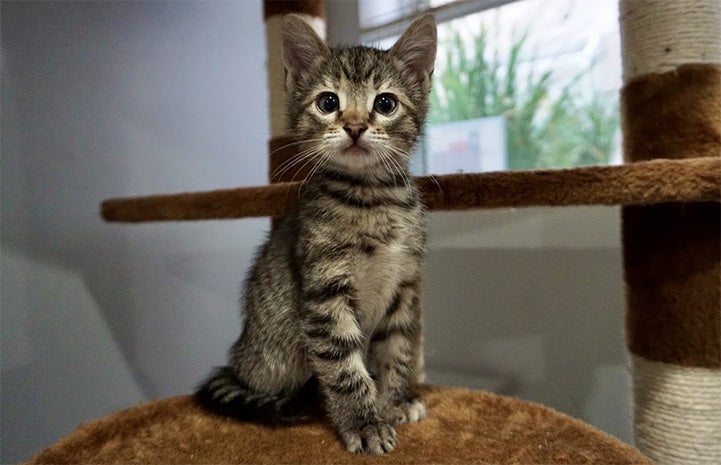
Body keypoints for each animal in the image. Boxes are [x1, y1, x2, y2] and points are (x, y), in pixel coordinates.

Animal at [194, 13, 436, 454]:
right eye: (328, 102)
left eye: (385, 103)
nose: (355, 126)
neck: (371, 198)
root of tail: (238, 357)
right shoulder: (325, 294)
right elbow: (344, 367)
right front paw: (364, 422)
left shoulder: (405, 285)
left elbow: (398, 349)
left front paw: (395, 400)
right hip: (270, 362)